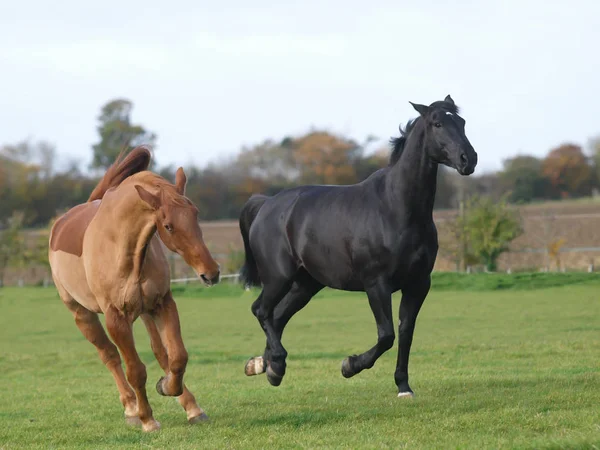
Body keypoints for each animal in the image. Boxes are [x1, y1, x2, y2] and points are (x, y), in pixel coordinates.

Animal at [47, 146, 220, 430]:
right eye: (168, 225)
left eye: (195, 215)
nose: (211, 273)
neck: (121, 247)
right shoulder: (116, 318)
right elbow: (135, 370)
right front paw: (147, 419)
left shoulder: (162, 303)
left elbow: (177, 357)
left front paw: (171, 391)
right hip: (82, 315)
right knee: (110, 356)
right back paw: (131, 408)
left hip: (146, 312)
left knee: (161, 353)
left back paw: (185, 403)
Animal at [239, 96, 478, 398]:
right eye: (437, 123)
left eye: (462, 122)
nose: (469, 159)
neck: (396, 208)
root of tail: (266, 204)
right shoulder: (376, 284)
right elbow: (386, 335)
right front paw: (349, 365)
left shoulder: (418, 283)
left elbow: (406, 333)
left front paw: (403, 386)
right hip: (277, 277)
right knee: (261, 310)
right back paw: (276, 364)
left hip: (306, 285)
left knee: (277, 317)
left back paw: (265, 366)